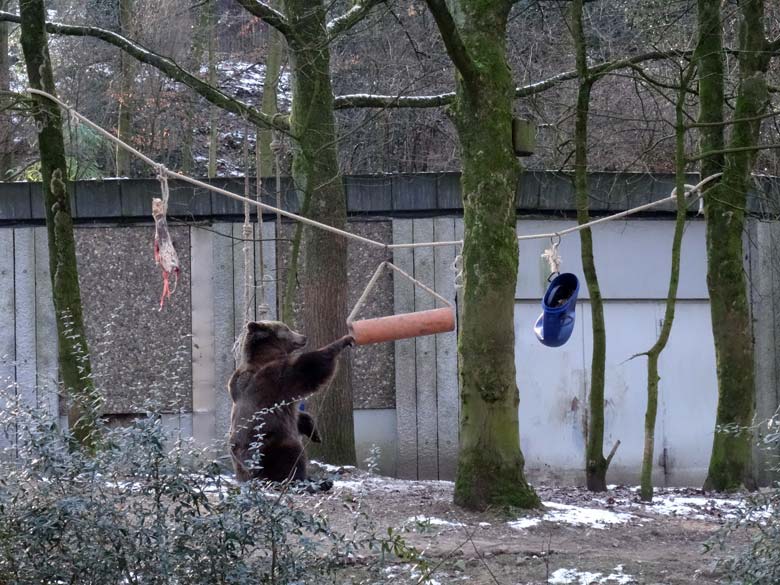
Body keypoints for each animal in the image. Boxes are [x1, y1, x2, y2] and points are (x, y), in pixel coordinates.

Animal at [227, 322, 352, 482]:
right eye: (286, 328)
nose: (304, 337)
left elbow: (298, 415)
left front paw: (315, 432)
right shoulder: (276, 377)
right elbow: (311, 366)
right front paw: (344, 340)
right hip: (268, 443)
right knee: (291, 456)